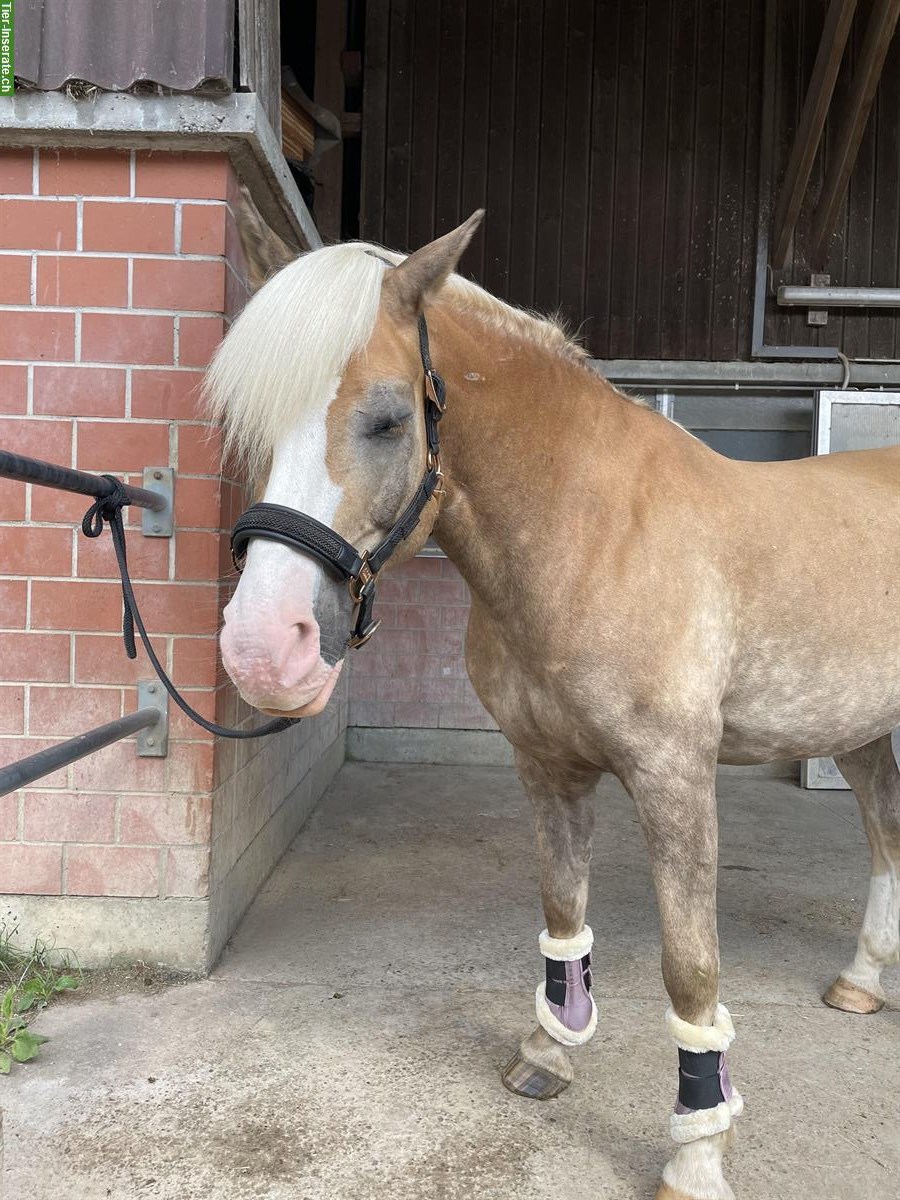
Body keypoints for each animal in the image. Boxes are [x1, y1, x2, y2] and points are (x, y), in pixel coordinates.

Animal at [204, 211, 900, 1195]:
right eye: (254, 425)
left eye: (386, 419)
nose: (265, 651)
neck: (591, 529)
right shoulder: (547, 765)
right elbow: (563, 907)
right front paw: (551, 1050)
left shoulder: (674, 777)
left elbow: (690, 967)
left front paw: (697, 1149)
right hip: (859, 726)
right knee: (885, 832)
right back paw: (863, 981)